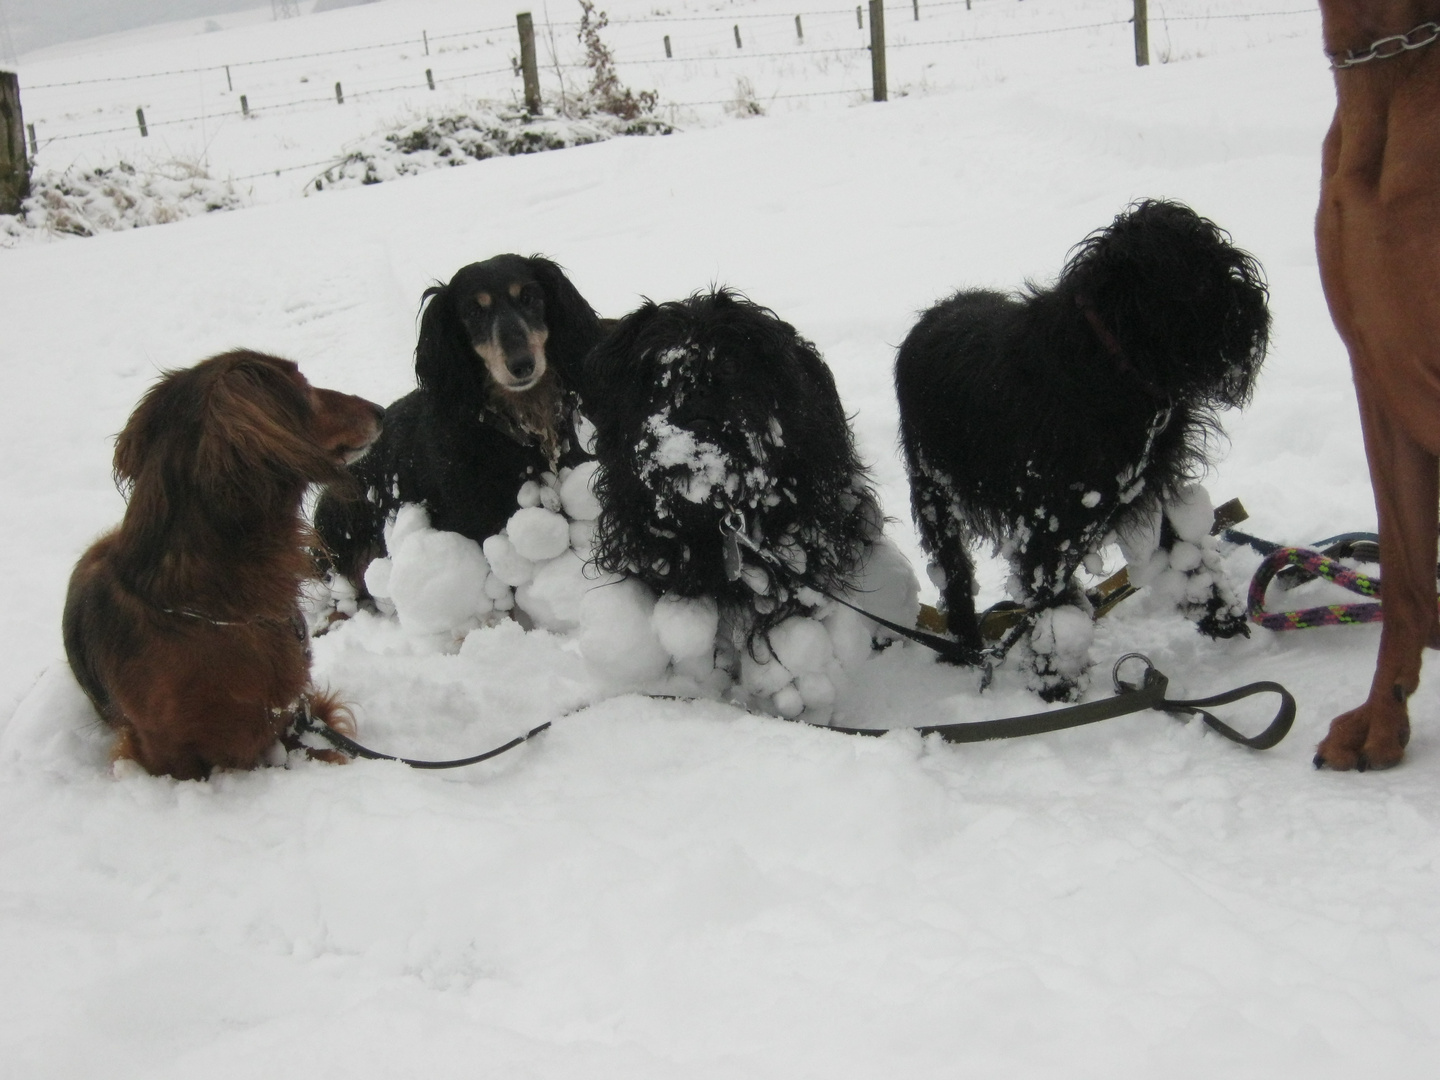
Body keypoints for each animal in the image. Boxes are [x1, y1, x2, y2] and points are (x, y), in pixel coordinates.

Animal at [892, 198, 1278, 696]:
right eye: (1199, 278)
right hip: (934, 491)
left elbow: (1184, 554)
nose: (1254, 311)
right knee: (954, 572)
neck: (1110, 362)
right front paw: (1056, 680)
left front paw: (1220, 616)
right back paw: (966, 648)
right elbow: (1051, 600)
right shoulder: (1051, 525)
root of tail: (931, 317)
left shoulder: (1144, 486)